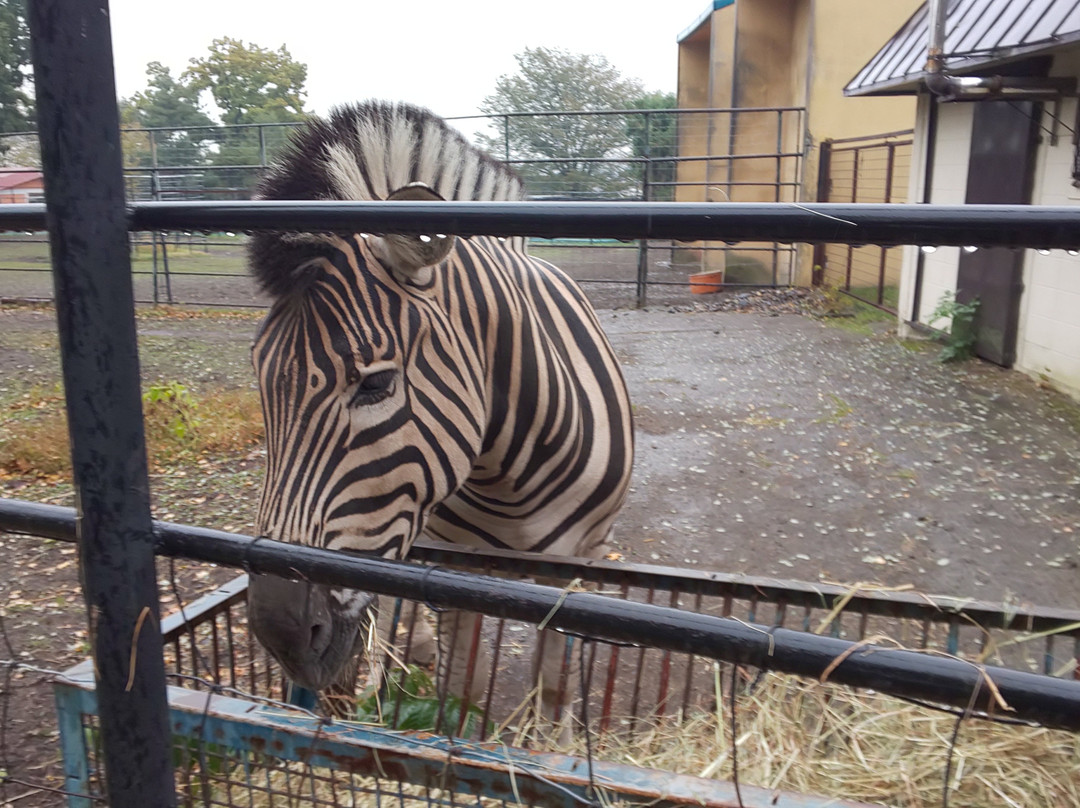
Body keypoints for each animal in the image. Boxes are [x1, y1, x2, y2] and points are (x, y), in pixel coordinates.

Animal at [245, 99, 630, 730]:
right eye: (260, 378)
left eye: (376, 384)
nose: (281, 636)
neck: (508, 474)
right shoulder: (452, 571)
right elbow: (460, 687)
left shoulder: (575, 563)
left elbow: (553, 686)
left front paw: (553, 742)